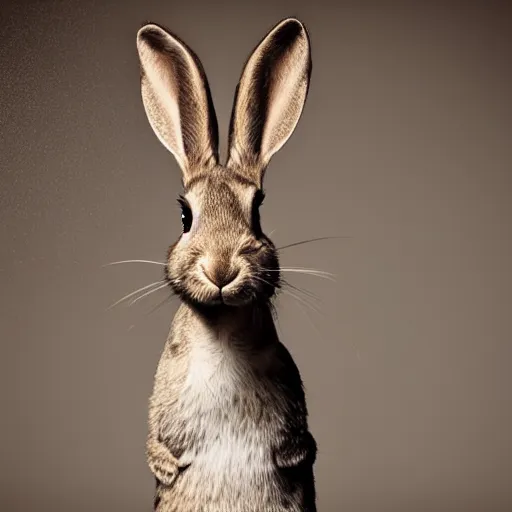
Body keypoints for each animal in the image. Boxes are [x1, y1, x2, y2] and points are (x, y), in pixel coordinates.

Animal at [137, 16, 316, 512]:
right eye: (184, 215)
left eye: (257, 211)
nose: (221, 270)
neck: (221, 332)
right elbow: (154, 438)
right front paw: (164, 466)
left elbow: (302, 445)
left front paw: (292, 456)